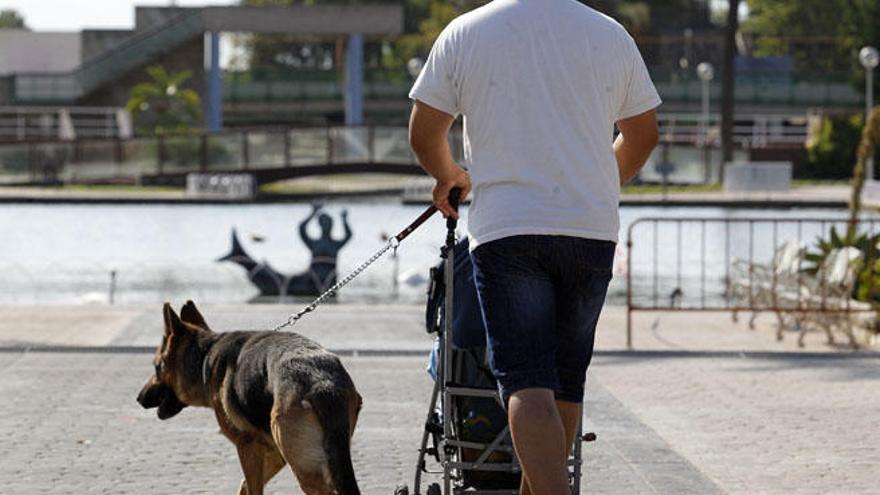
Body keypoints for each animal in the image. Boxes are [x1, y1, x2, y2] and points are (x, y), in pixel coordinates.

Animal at [137, 302, 360, 495]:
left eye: (157, 367)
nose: (139, 398)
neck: (205, 357)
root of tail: (322, 381)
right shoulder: (273, 451)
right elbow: (245, 485)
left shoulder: (247, 446)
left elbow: (253, 487)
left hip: (304, 469)